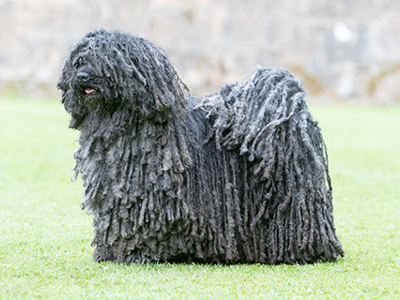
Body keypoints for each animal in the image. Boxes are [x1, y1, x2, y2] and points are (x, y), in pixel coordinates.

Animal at [58, 29, 344, 264]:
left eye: (106, 61)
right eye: (79, 61)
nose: (82, 76)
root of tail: (292, 107)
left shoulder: (151, 197)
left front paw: (137, 253)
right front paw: (109, 252)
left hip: (290, 194)